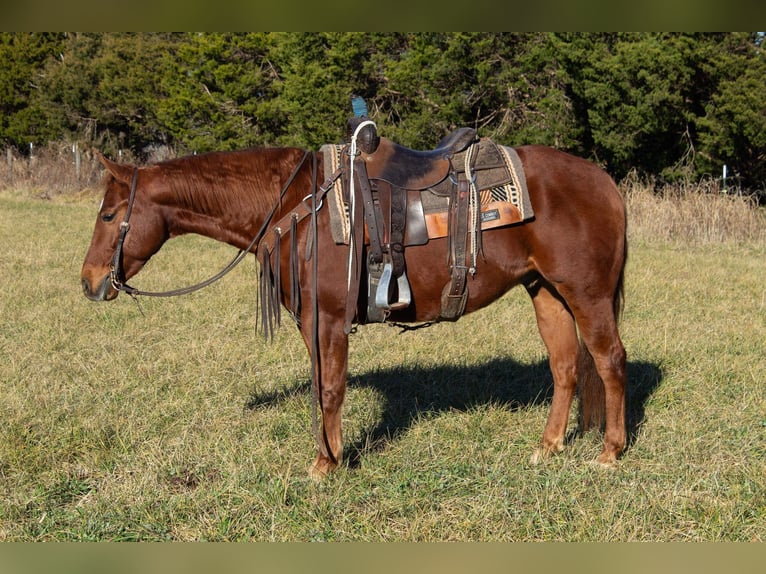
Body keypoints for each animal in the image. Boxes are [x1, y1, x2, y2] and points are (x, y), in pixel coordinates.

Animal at [81, 145, 628, 482]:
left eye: (108, 215)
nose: (88, 281)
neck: (296, 207)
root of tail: (605, 183)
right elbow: (323, 385)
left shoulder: (325, 319)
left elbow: (330, 387)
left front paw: (326, 463)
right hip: (546, 292)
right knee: (565, 367)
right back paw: (548, 447)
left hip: (587, 294)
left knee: (609, 362)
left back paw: (609, 453)